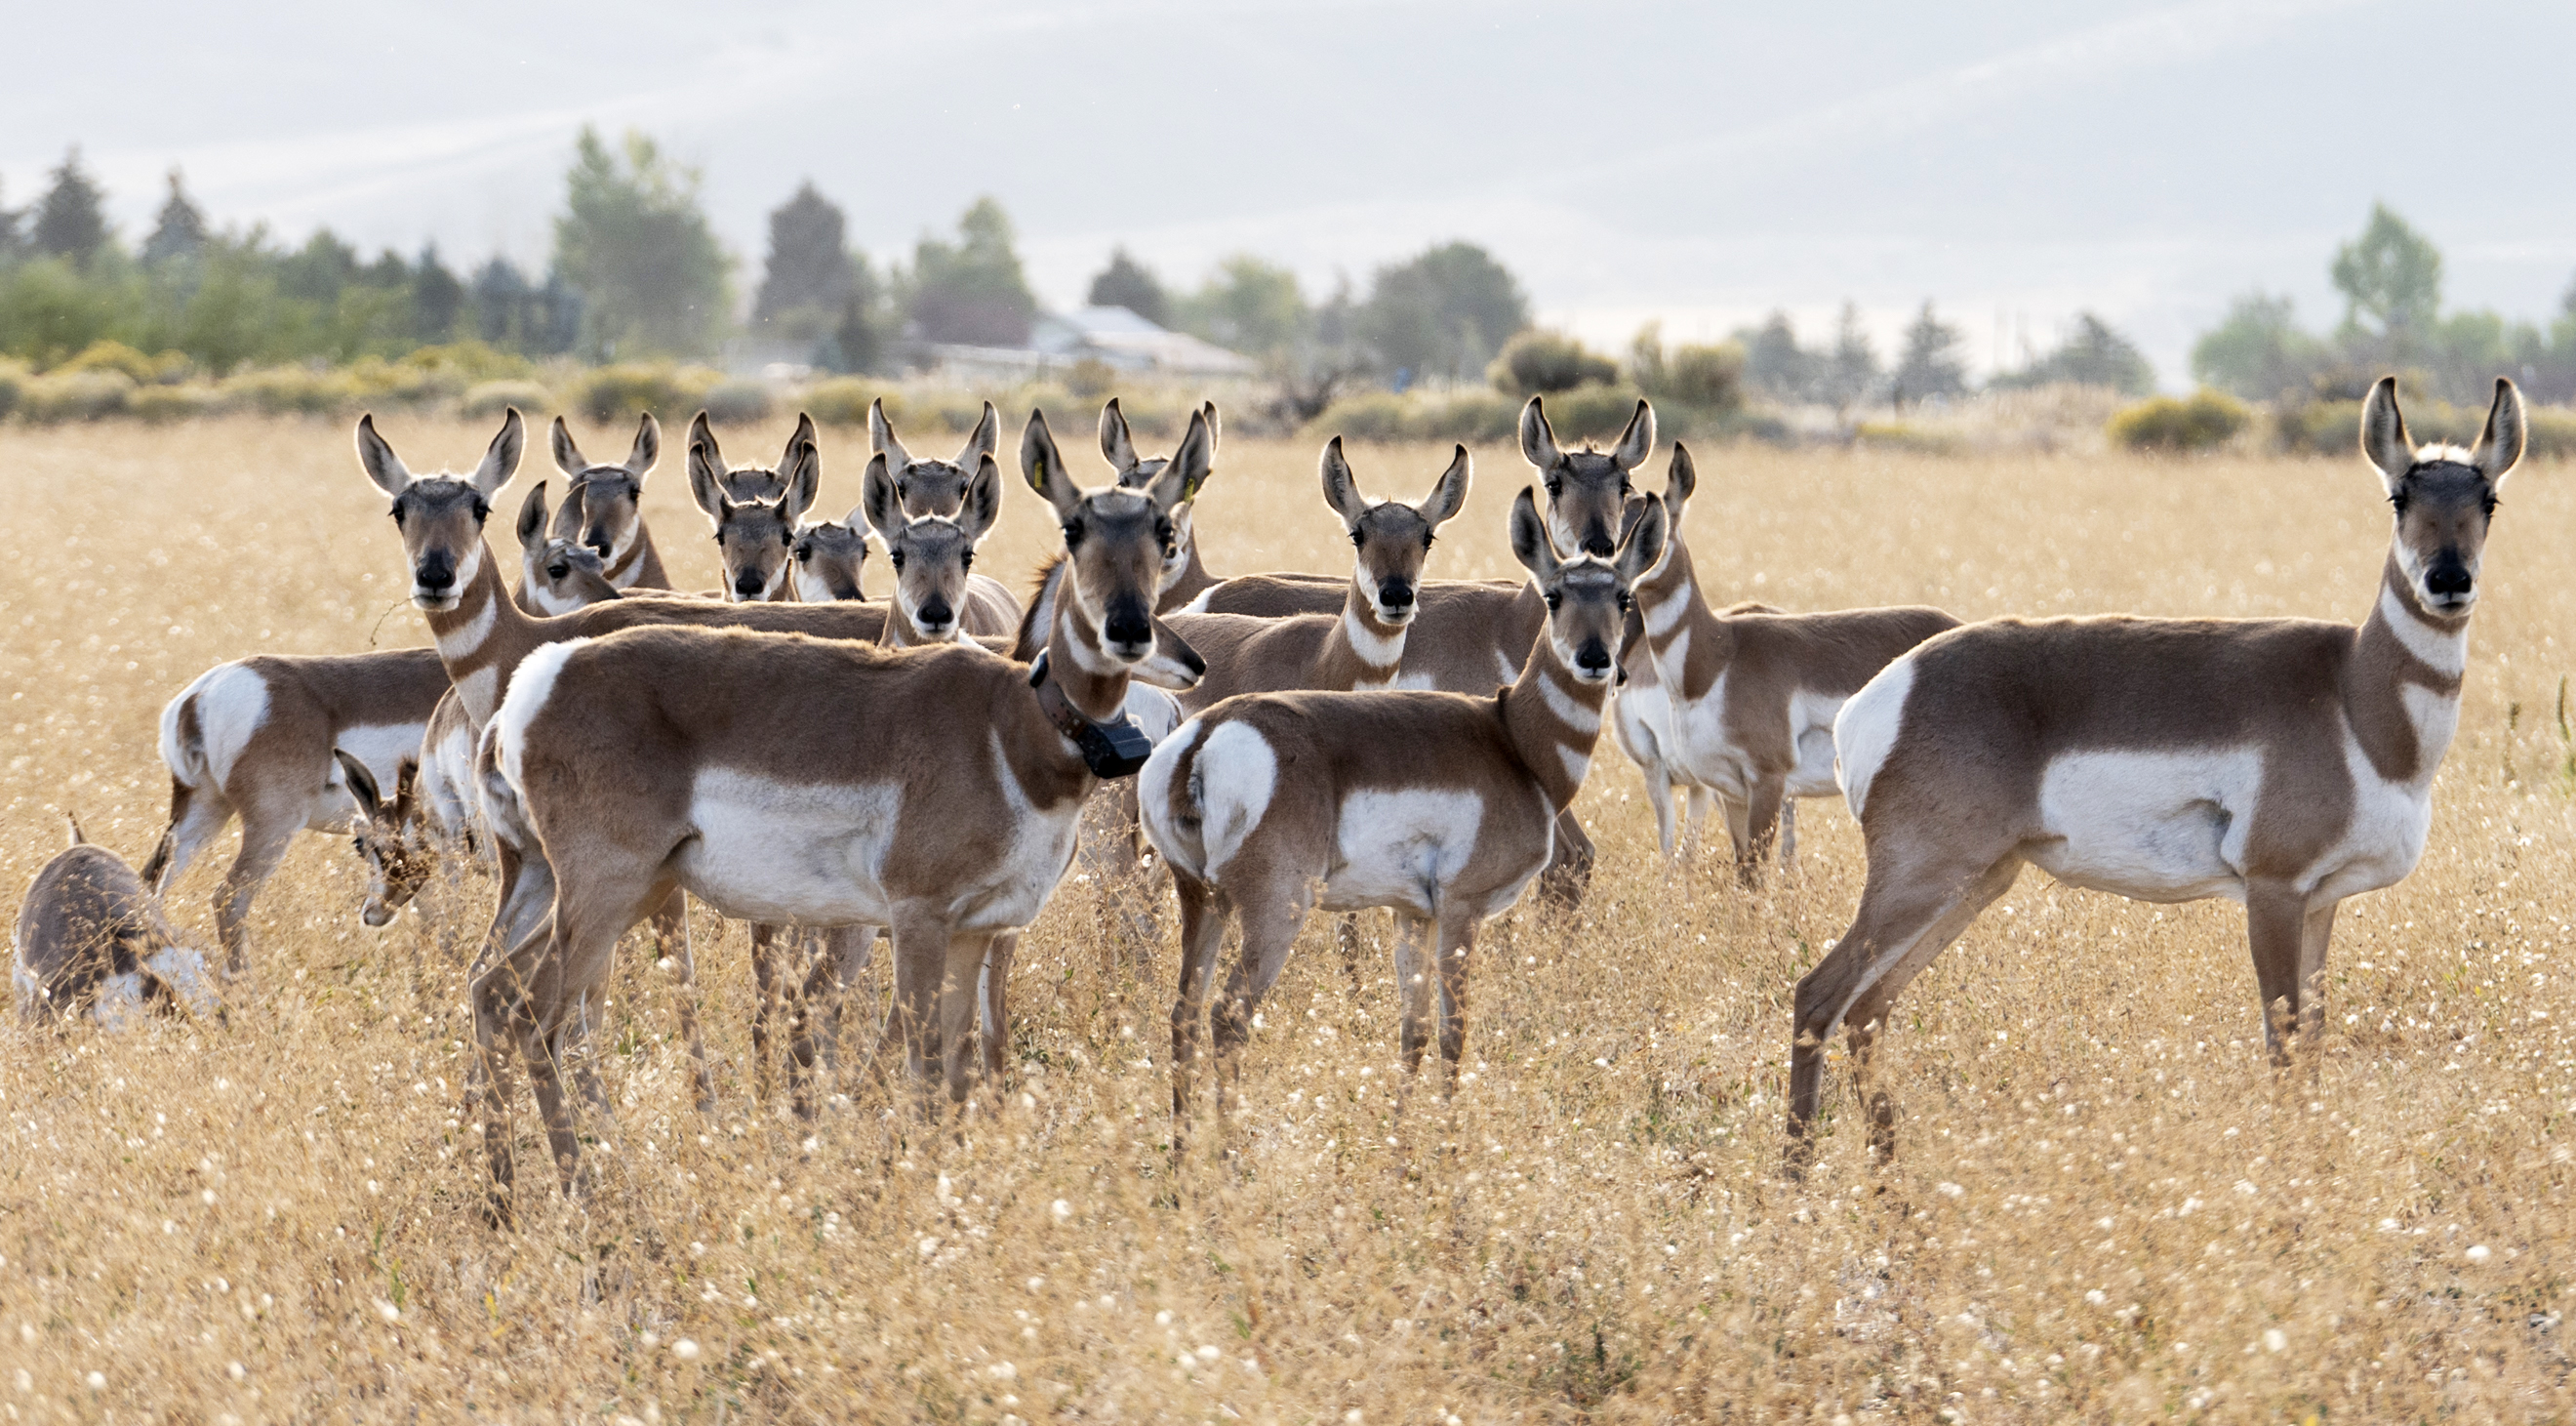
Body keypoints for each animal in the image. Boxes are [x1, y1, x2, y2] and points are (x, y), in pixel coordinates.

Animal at [1144, 487, 1667, 1131]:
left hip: (1203, 901)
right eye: (1555, 596)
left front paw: (1401, 1136)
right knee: (1229, 1015)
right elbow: (1453, 1032)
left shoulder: (1412, 915)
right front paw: (1444, 1141)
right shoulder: (1462, 911)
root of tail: (1207, 734)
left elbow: (1412, 1030)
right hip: (1275, 911)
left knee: (1184, 1012)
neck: (1511, 737)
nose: (1597, 660)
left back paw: (1182, 1149)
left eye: (1623, 596)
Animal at [1620, 443, 1957, 880]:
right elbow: (1742, 872)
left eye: (1654, 524)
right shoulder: (1730, 790)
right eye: (1608, 519)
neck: (1715, 660)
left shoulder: (1768, 782)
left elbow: (1754, 874)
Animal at [1784, 377, 2525, 1168]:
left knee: (1868, 1009)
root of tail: (1884, 692)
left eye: (2487, 498)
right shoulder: (2273, 891)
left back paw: (1890, 1182)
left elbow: (2315, 1046)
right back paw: (1799, 1181)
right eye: (2398, 496)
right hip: (1922, 881)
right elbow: (2283, 1041)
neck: (2352, 695)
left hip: (1976, 883)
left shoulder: (2324, 900)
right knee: (1819, 996)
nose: (2448, 579)